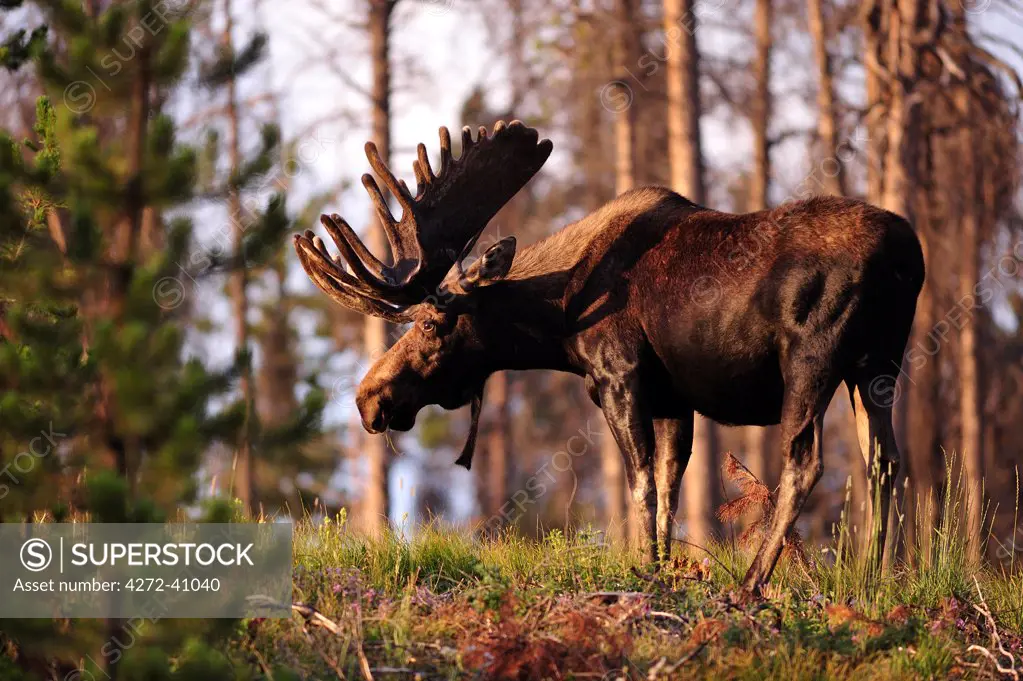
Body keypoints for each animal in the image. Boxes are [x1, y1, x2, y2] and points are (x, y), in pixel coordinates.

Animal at [292, 119, 924, 593]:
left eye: (429, 322)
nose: (368, 398)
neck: (561, 316)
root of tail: (906, 256)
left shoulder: (620, 377)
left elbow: (640, 485)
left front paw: (646, 573)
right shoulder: (675, 399)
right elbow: (670, 489)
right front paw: (666, 570)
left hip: (812, 361)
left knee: (806, 463)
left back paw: (751, 585)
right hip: (877, 366)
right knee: (885, 461)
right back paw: (877, 577)